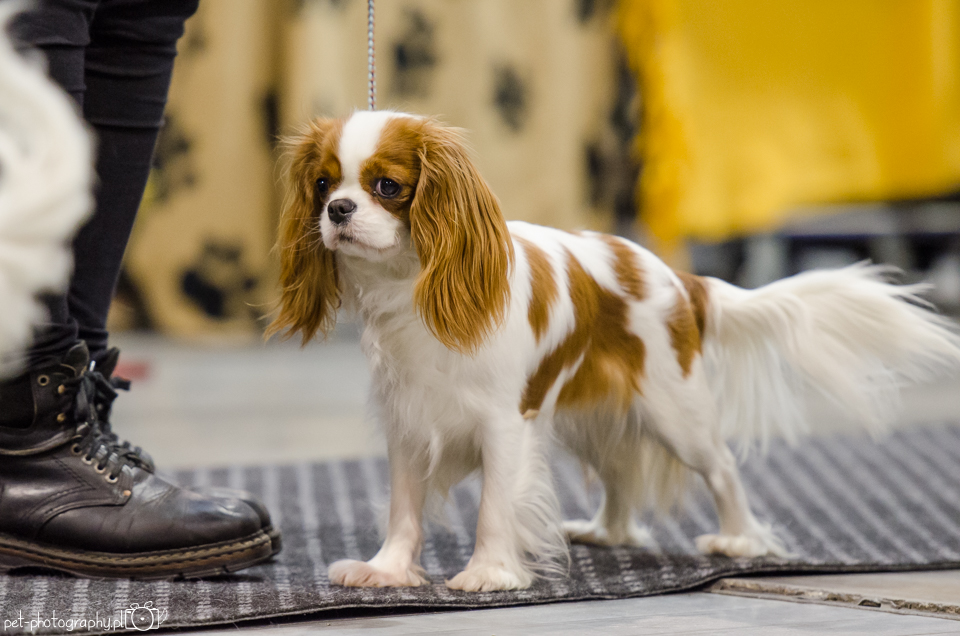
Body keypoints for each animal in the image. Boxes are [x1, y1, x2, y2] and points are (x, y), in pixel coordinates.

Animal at [270, 110, 960, 592]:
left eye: (387, 185)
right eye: (323, 183)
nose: (338, 209)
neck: (409, 286)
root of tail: (678, 277)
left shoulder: (503, 423)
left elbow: (494, 505)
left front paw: (490, 573)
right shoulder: (409, 421)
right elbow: (404, 507)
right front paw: (388, 571)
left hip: (675, 411)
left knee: (722, 468)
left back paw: (739, 541)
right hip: (592, 415)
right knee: (620, 470)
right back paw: (608, 532)